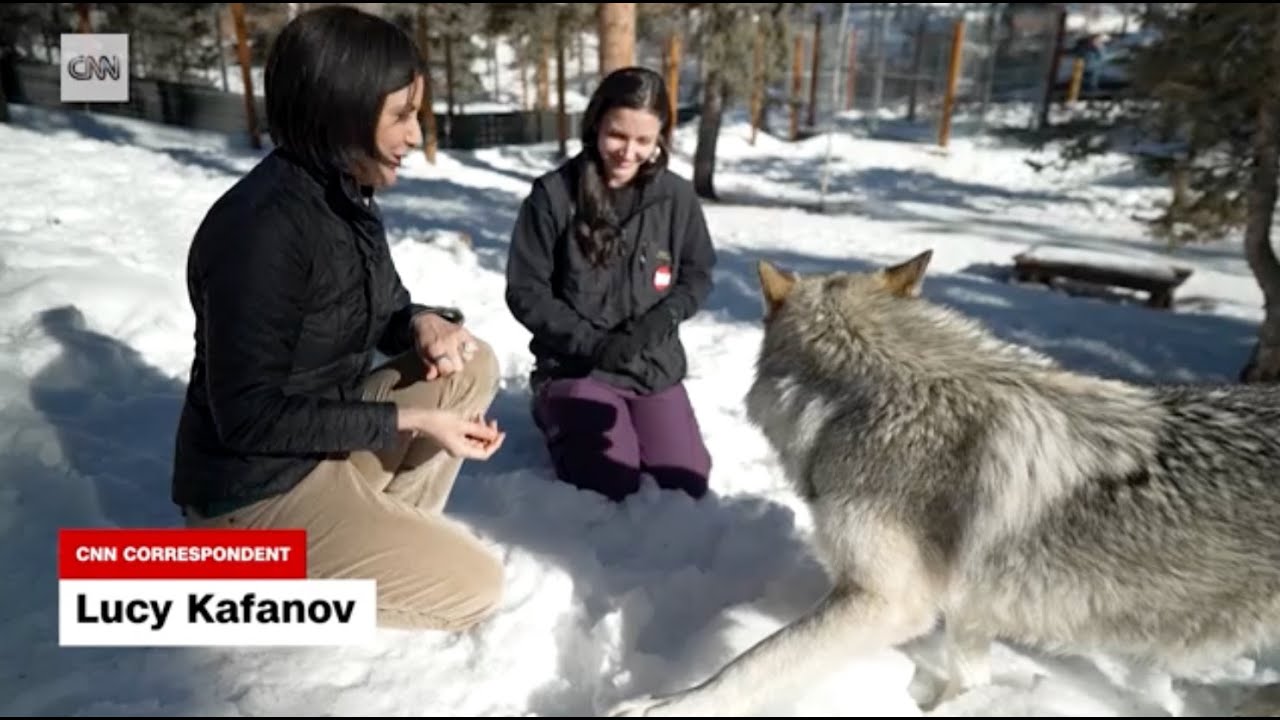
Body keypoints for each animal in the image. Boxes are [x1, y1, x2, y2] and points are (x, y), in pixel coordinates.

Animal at [608, 250, 1280, 716]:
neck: (876, 402)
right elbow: (969, 676)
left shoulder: (887, 603)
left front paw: (658, 707)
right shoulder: (967, 612)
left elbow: (751, 666)